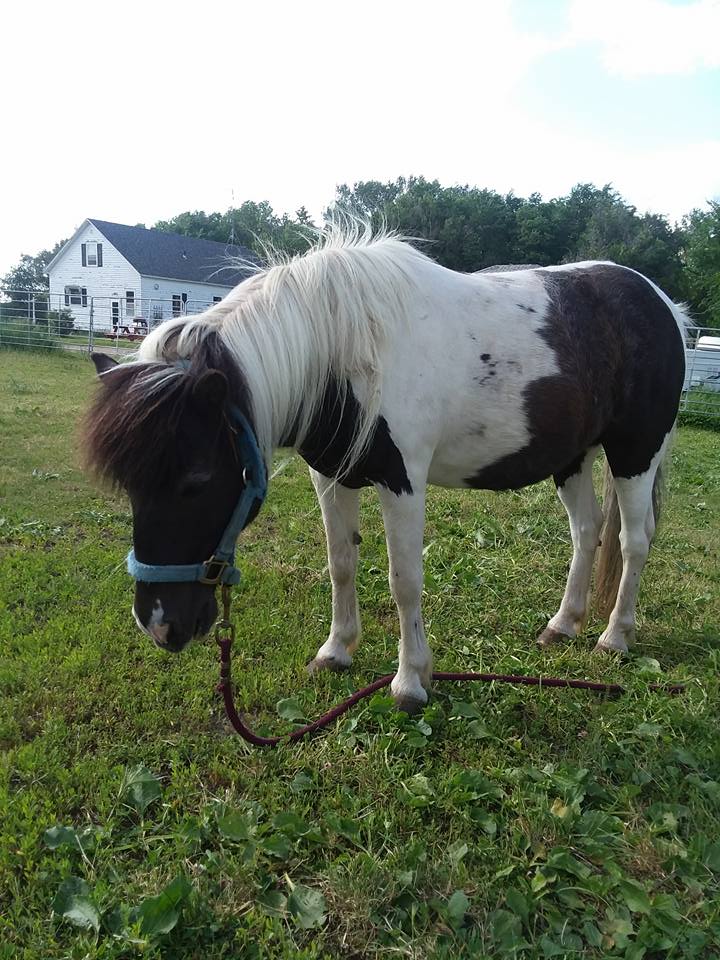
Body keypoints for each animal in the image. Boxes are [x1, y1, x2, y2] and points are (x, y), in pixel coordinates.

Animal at [85, 225, 687, 714]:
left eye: (196, 482)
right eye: (128, 487)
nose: (159, 625)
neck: (340, 351)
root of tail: (663, 305)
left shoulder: (403, 483)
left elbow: (405, 581)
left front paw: (410, 681)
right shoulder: (331, 476)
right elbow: (341, 564)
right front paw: (336, 651)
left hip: (636, 452)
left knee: (634, 541)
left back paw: (615, 636)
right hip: (573, 457)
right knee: (586, 532)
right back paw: (564, 625)